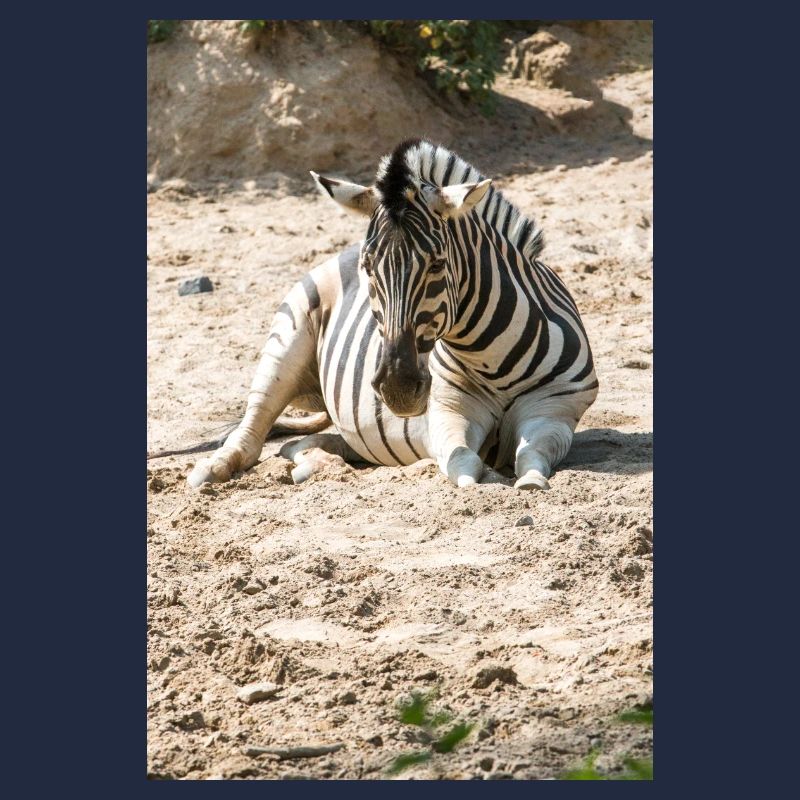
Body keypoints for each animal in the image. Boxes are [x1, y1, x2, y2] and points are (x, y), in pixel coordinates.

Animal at [186, 138, 598, 490]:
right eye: (369, 267)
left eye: (437, 264)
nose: (397, 388)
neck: (489, 357)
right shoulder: (448, 411)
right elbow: (464, 463)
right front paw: (485, 478)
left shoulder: (556, 410)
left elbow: (531, 455)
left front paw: (530, 481)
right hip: (286, 340)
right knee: (254, 425)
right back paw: (211, 469)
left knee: (304, 444)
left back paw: (315, 465)